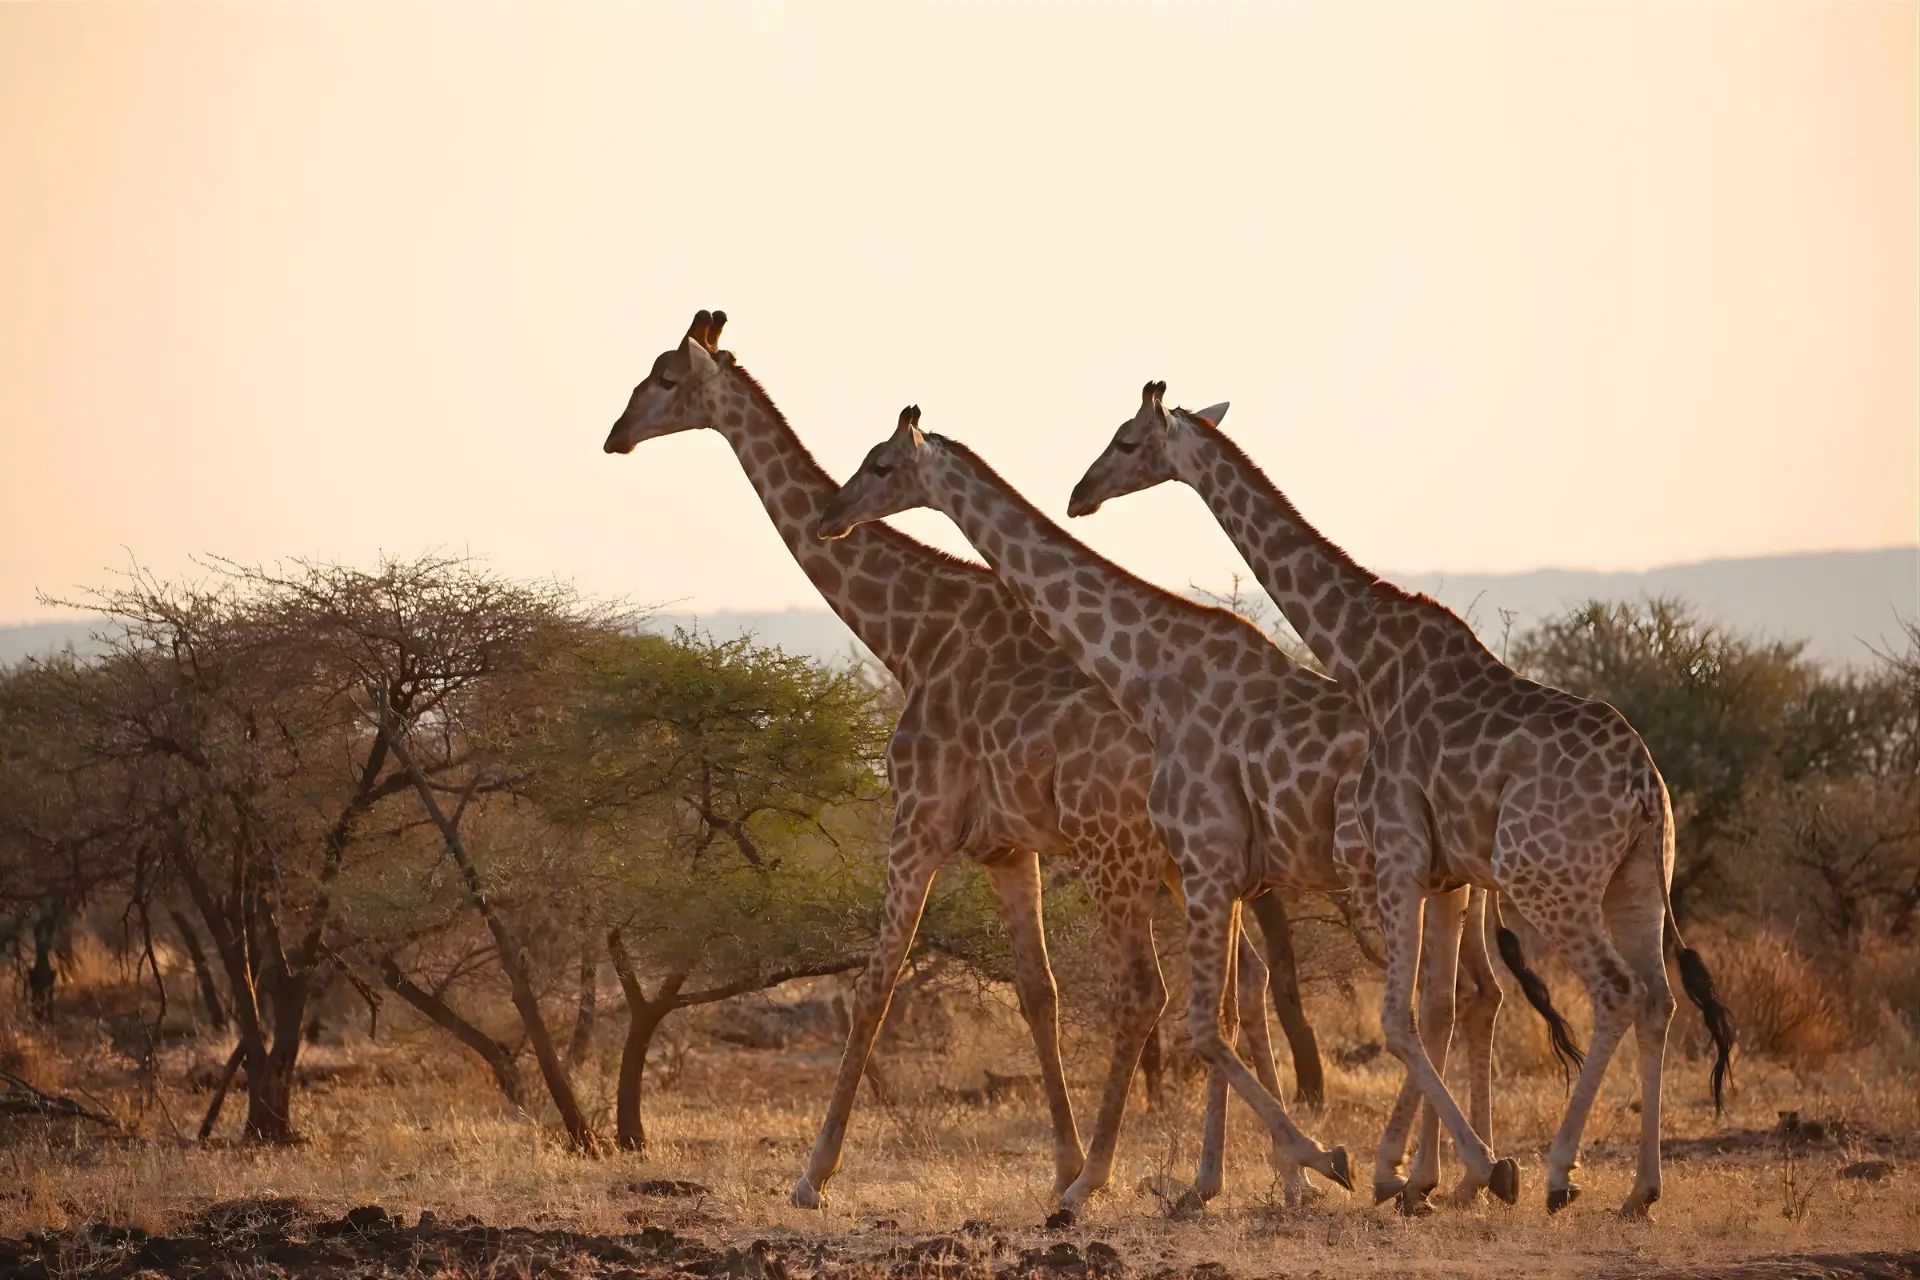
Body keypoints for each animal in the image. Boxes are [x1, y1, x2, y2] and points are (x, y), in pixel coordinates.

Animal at [603, 312, 1303, 1216]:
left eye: (663, 378)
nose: (615, 436)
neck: (912, 634)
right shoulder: (1008, 848)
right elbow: (1037, 994)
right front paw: (1063, 1160)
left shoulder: (918, 822)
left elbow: (873, 986)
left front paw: (812, 1174)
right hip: (1190, 866)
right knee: (1237, 983)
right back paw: (1270, 1172)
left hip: (1122, 855)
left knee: (1156, 992)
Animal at [1068, 384, 1737, 1216]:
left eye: (1127, 441)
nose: (1079, 495)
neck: (1363, 656)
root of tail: (1645, 786)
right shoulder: (1439, 869)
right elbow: (1430, 1008)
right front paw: (1427, 1171)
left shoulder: (1401, 853)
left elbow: (1402, 1014)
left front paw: (1413, 1171)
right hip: (1639, 875)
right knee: (1657, 999)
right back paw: (1641, 1189)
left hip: (1547, 878)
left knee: (1614, 992)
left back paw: (1557, 1172)